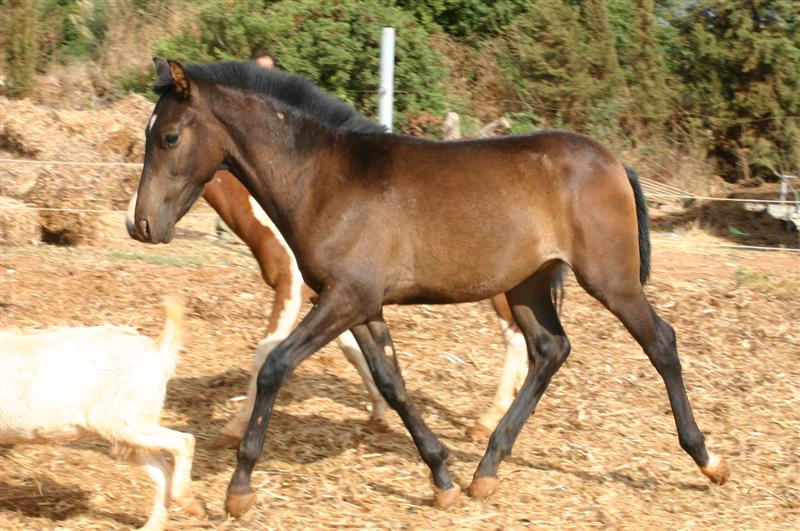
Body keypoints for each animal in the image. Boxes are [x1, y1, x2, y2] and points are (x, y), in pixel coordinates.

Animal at [126, 171, 530, 447]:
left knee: (516, 341)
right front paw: (378, 415)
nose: (134, 223)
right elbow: (355, 354)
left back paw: (488, 420)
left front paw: (233, 429)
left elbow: (264, 354)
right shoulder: (337, 300)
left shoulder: (293, 292)